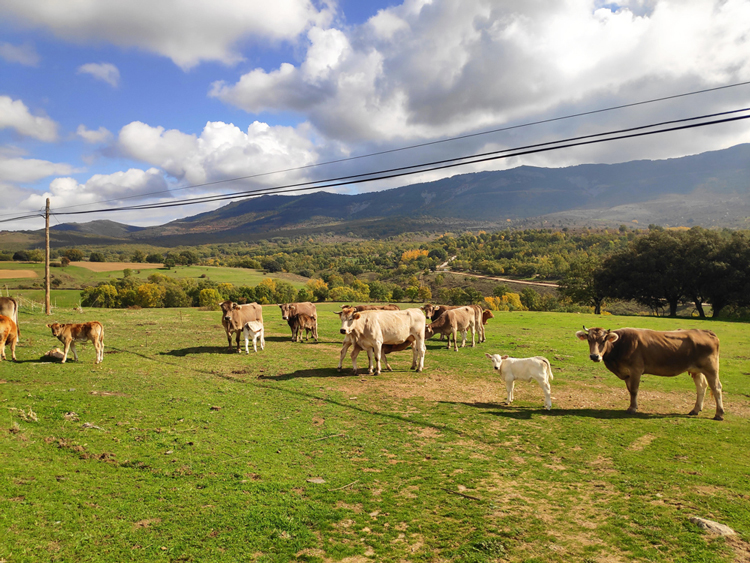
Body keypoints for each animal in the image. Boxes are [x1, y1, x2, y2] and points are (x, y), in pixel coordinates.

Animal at [580, 326, 724, 424]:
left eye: (603, 340)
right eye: (589, 340)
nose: (594, 356)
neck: (620, 345)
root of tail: (705, 331)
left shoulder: (636, 370)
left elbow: (634, 390)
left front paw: (632, 408)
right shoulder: (627, 373)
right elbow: (629, 390)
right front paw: (633, 405)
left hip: (711, 368)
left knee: (716, 387)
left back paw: (719, 414)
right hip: (697, 370)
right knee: (701, 387)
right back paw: (695, 410)